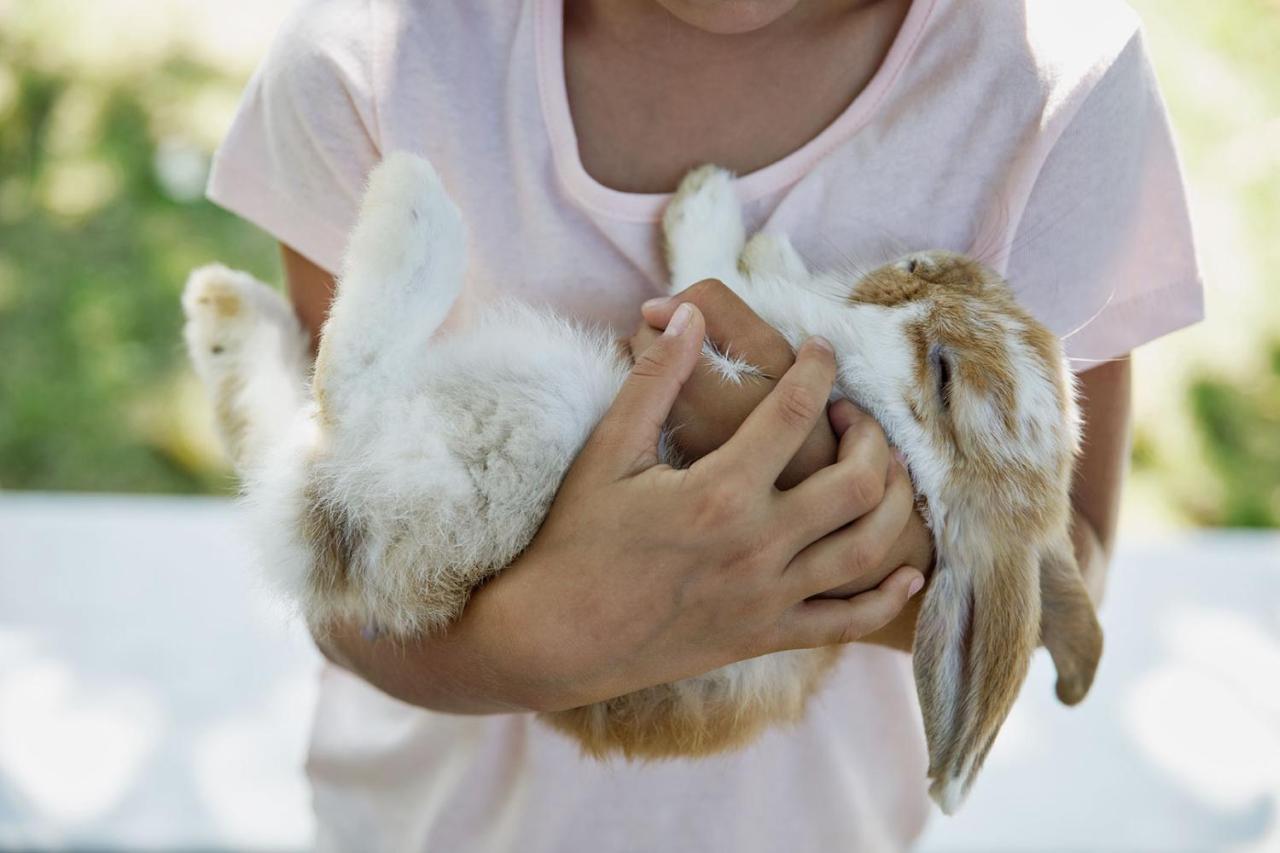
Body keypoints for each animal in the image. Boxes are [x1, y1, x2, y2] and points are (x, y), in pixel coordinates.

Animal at [180, 153, 1100, 809]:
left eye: (946, 377)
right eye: (936, 272)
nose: (916, 265)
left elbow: (713, 281)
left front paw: (710, 210)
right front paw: (742, 221)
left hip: (502, 432)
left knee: (344, 389)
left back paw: (407, 202)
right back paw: (225, 310)